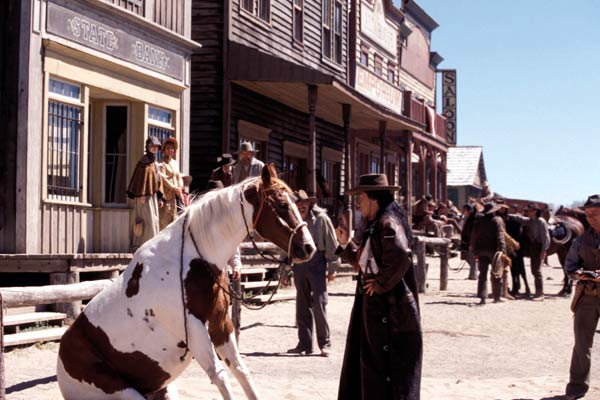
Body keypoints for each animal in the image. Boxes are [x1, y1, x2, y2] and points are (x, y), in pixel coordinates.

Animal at [58, 164, 316, 398]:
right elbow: (220, 376)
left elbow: (241, 371)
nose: (308, 247)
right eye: (283, 205)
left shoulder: (220, 325)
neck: (192, 260)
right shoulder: (194, 329)